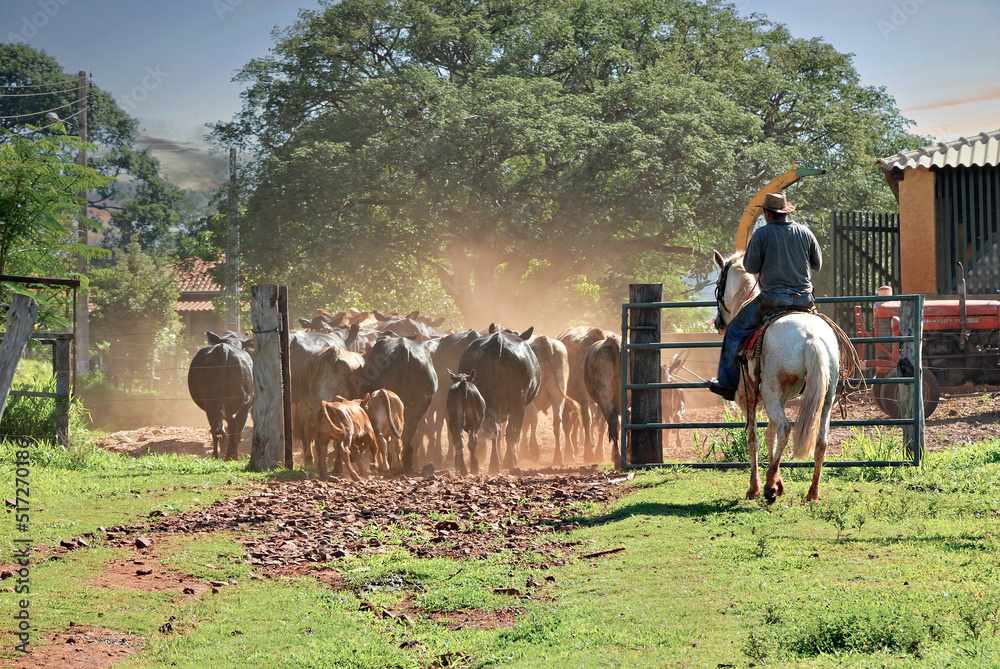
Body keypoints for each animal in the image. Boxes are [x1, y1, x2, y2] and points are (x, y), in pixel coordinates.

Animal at [188, 330, 254, 460]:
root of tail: (224, 348)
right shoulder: (247, 407)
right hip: (240, 402)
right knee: (232, 425)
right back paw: (231, 455)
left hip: (210, 401)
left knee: (217, 427)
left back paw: (216, 455)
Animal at [458, 324, 540, 472]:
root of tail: (498, 341)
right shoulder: (521, 407)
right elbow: (515, 433)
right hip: (517, 402)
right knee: (510, 431)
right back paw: (508, 461)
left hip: (483, 400)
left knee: (493, 431)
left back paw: (493, 462)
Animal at [716, 252, 840, 500]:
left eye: (718, 285)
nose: (717, 323)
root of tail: (812, 337)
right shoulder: (781, 399)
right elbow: (769, 436)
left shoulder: (748, 399)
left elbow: (753, 439)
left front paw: (754, 487)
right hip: (825, 397)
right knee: (821, 441)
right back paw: (812, 491)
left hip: (770, 395)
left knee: (785, 428)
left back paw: (769, 486)